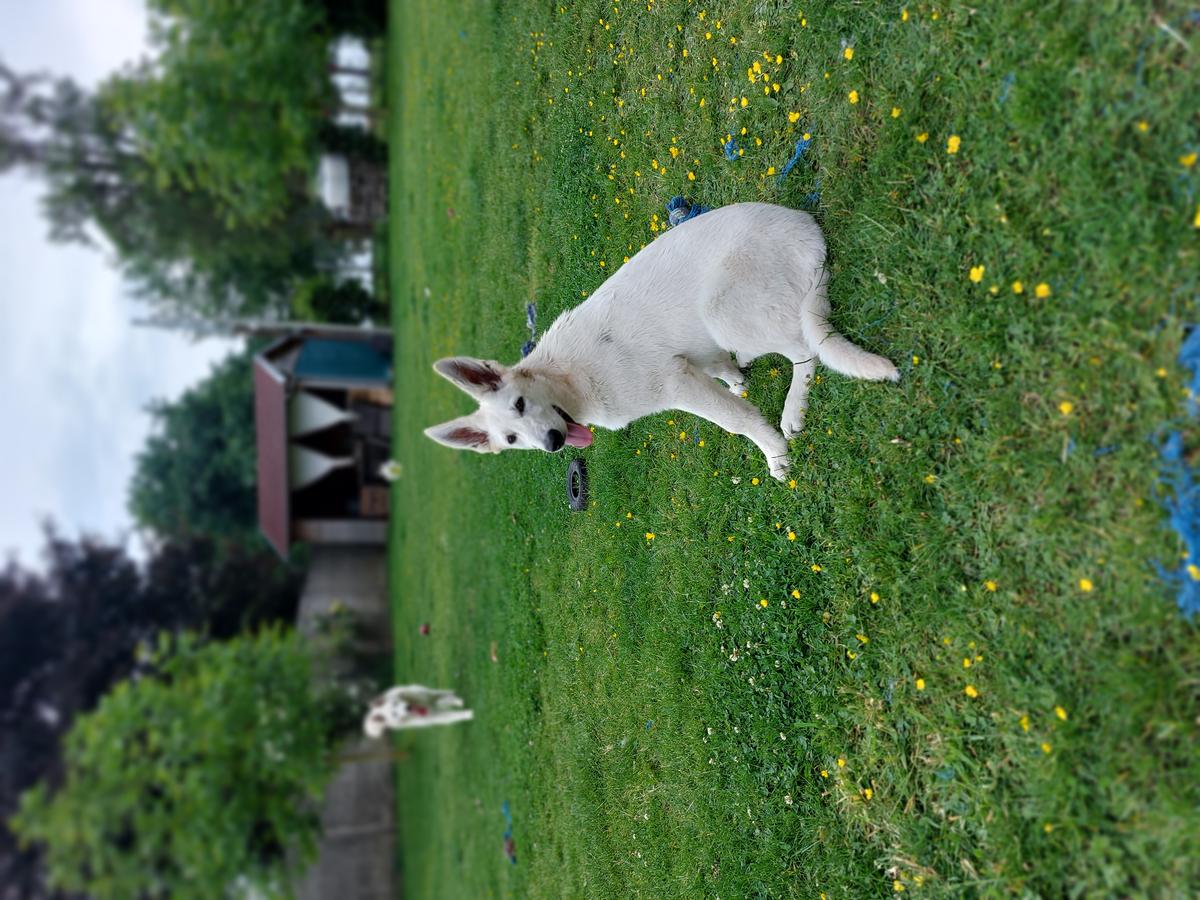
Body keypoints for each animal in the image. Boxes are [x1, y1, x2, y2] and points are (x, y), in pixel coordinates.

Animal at [427, 201, 897, 482]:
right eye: (510, 440)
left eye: (522, 404)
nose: (553, 444)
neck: (567, 377)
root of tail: (810, 230)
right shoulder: (691, 363)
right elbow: (721, 373)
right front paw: (736, 380)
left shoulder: (674, 383)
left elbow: (739, 422)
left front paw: (775, 455)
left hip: (721, 311)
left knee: (806, 351)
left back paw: (793, 411)